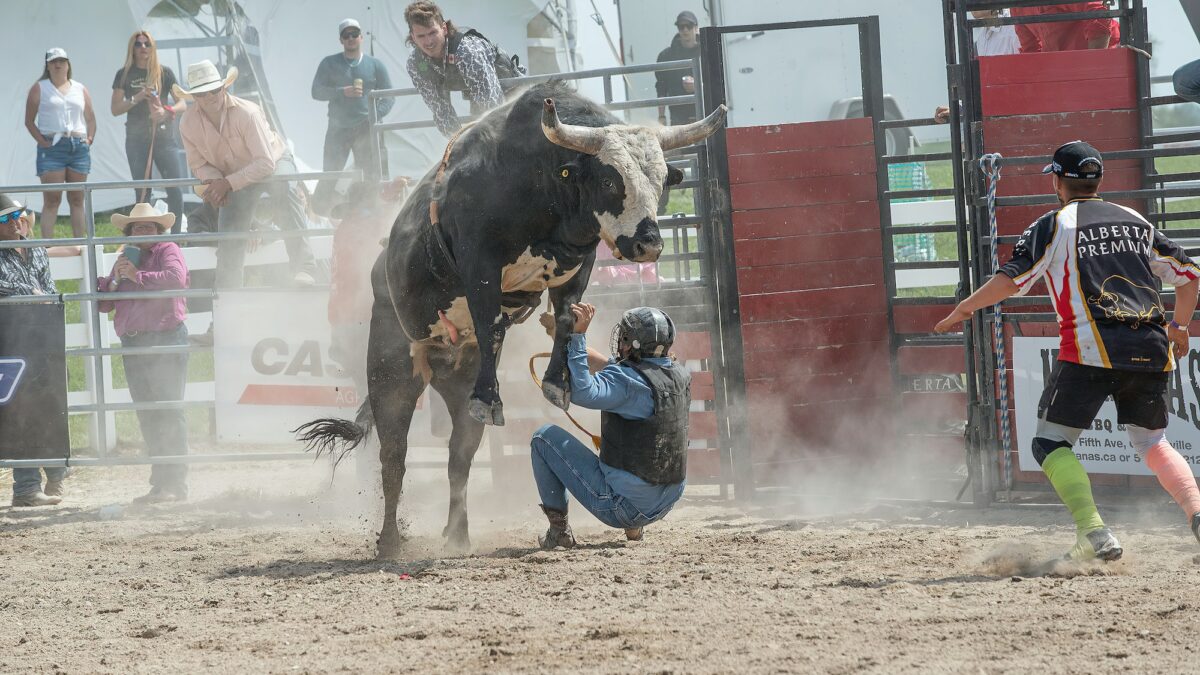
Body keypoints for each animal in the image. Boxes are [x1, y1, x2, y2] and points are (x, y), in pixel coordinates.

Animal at [295, 81, 724, 552]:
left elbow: (566, 320)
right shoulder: (479, 266)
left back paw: (458, 534)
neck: (541, 182)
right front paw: (494, 395)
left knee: (459, 457)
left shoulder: (580, 262)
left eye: (662, 179)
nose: (649, 244)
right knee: (394, 456)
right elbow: (488, 326)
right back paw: (390, 540)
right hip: (392, 372)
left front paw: (558, 383)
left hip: (455, 384)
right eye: (611, 179)